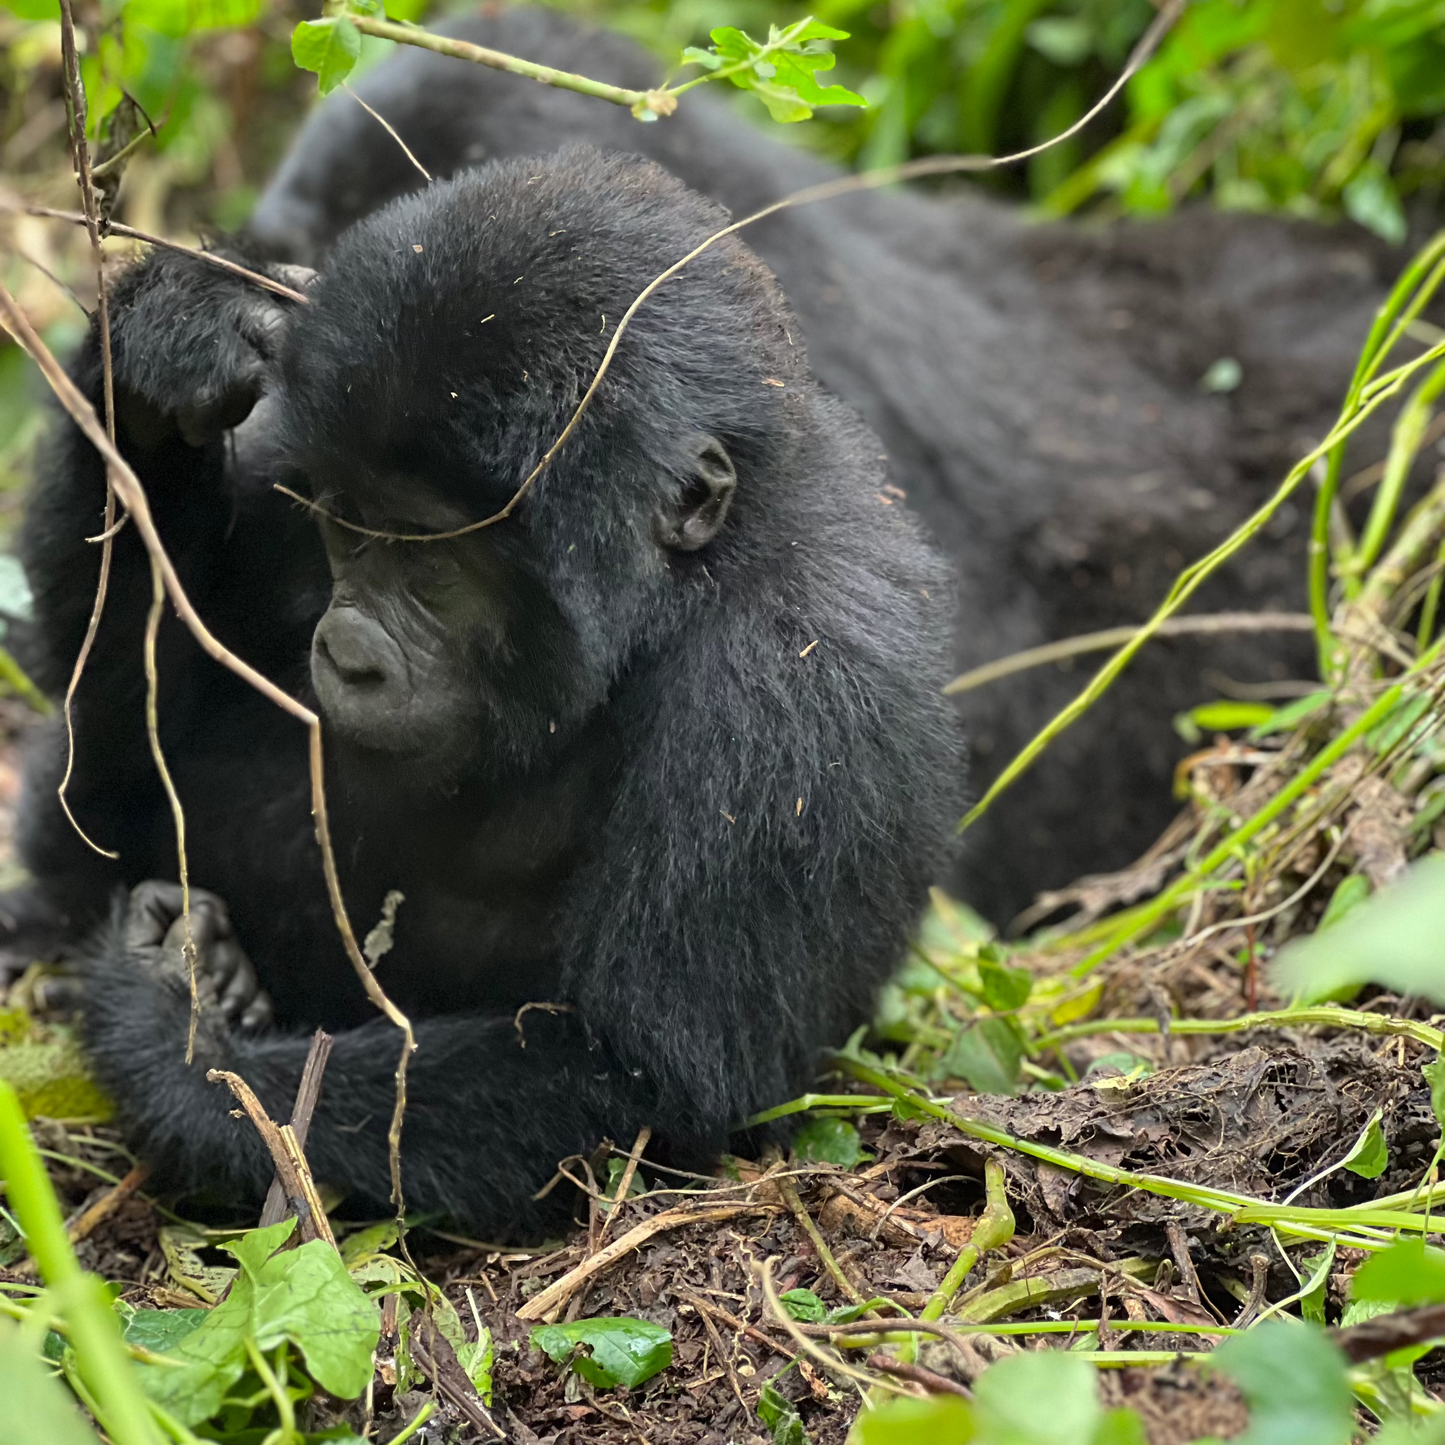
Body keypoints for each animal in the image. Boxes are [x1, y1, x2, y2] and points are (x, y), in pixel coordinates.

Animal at [16, 146, 965, 1231]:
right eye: (345, 523)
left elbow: (636, 1076)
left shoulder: (791, 688)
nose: (347, 651)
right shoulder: (292, 445)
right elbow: (123, 742)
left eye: (433, 557)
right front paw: (165, 345)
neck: (681, 587)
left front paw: (178, 1029)